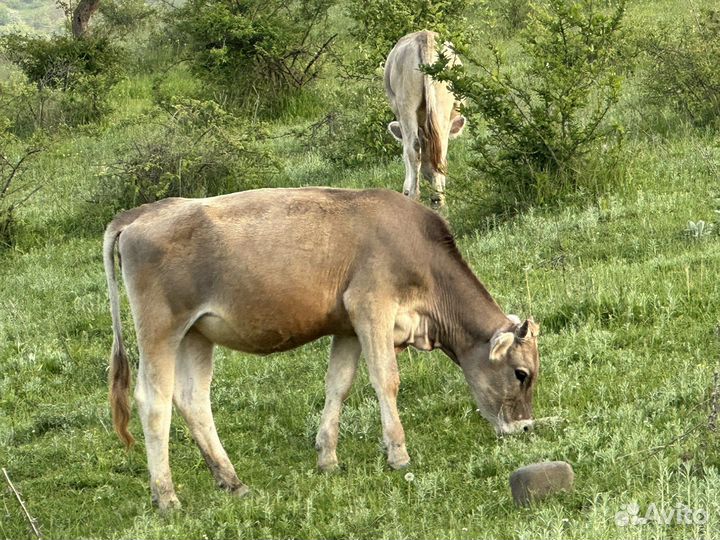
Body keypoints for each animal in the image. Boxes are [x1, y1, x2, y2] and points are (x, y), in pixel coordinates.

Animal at [104, 187, 539, 511]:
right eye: (521, 374)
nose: (526, 426)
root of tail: (141, 214)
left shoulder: (347, 326)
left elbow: (339, 385)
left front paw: (327, 457)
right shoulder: (371, 306)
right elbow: (386, 379)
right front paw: (398, 455)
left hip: (196, 334)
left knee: (193, 399)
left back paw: (231, 481)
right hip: (160, 328)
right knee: (153, 402)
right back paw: (166, 496)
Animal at [384, 30, 467, 209]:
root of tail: (425, 35)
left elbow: (405, 152)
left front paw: (406, 189)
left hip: (406, 104)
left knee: (413, 148)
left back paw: (414, 195)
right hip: (441, 105)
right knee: (440, 148)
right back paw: (438, 197)